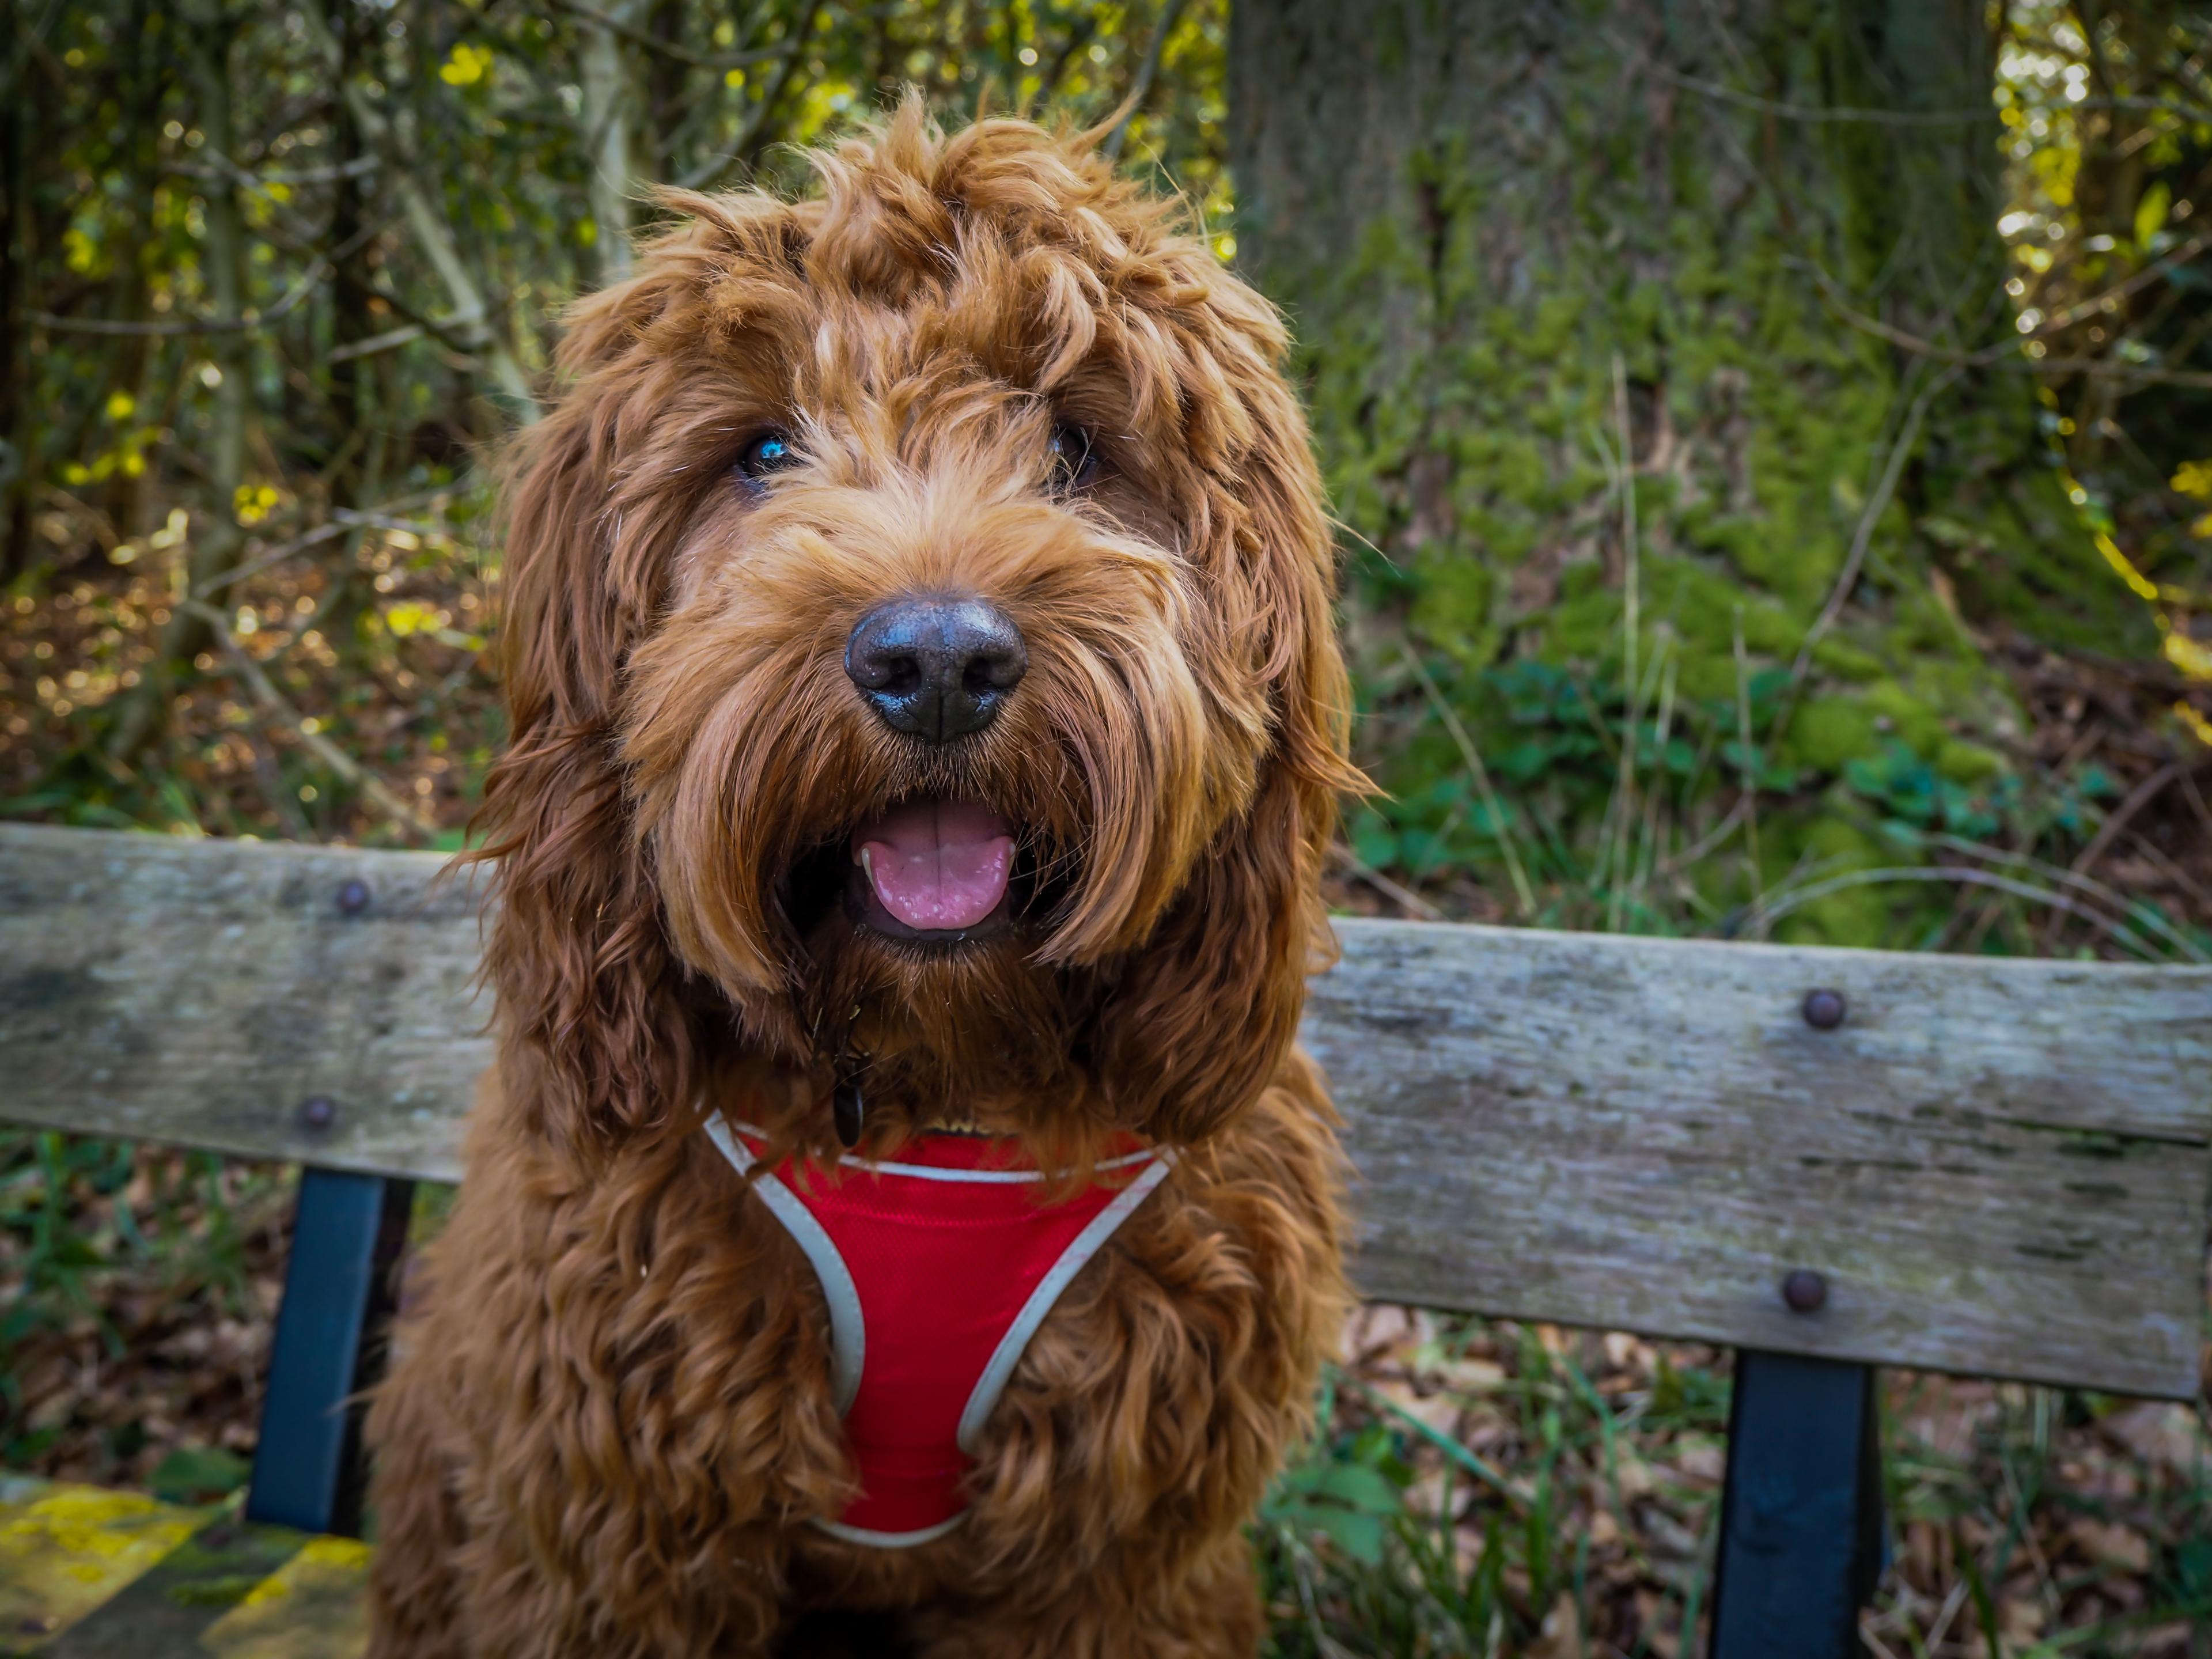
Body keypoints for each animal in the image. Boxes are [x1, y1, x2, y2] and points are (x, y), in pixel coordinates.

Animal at [360, 97, 1354, 1654]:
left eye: (1076, 443)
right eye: (762, 449)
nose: (936, 662)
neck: (929, 1078)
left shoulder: (1116, 1557)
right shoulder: (613, 1526)